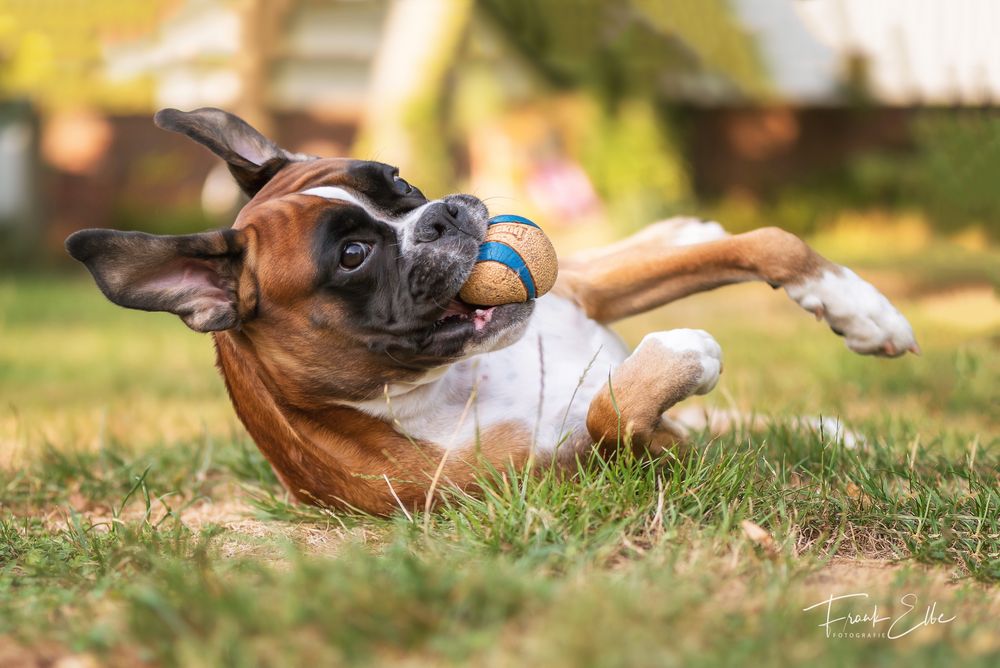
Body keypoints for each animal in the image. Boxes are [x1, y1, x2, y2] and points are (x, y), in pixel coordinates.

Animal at [66, 109, 916, 516]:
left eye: (397, 181)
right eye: (352, 255)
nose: (443, 213)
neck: (458, 378)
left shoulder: (584, 301)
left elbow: (771, 242)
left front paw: (863, 311)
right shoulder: (627, 466)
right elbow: (615, 410)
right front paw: (685, 352)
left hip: (590, 283)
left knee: (689, 249)